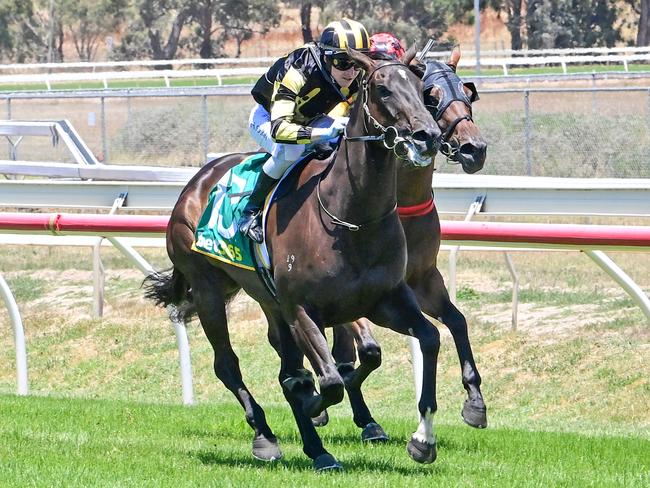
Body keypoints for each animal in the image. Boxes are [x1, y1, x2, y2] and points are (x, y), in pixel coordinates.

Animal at [144, 47, 440, 470]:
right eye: (383, 89)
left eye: (420, 87)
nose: (427, 136)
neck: (350, 216)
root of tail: (196, 182)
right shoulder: (302, 308)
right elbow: (327, 382)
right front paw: (317, 408)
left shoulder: (384, 299)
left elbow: (427, 339)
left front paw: (422, 440)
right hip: (207, 290)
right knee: (228, 365)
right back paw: (266, 437)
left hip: (269, 300)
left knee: (287, 367)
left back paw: (318, 450)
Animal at [332, 47, 488, 440]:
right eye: (431, 96)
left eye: (468, 94)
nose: (474, 149)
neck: (403, 203)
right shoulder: (366, 292)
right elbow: (370, 351)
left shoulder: (423, 280)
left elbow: (458, 321)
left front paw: (474, 402)